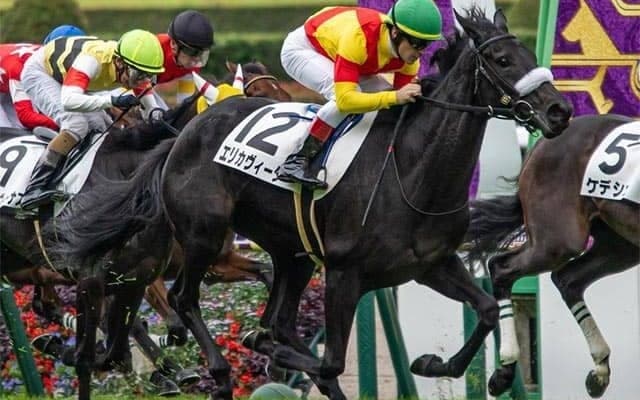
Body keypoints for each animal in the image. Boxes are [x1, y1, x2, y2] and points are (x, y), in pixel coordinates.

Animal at [49, 9, 572, 399]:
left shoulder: (430, 264)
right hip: (204, 233)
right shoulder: (344, 274)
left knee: (276, 318)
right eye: (502, 59)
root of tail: (181, 134)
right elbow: (331, 361)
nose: (559, 111)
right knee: (185, 299)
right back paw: (218, 368)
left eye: (529, 53)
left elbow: (485, 310)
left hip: (292, 252)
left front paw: (460, 368)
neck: (411, 169)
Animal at [465, 113, 639, 398]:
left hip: (619, 244)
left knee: (569, 279)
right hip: (558, 240)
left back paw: (600, 369)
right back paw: (504, 371)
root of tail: (540, 144)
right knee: (502, 267)